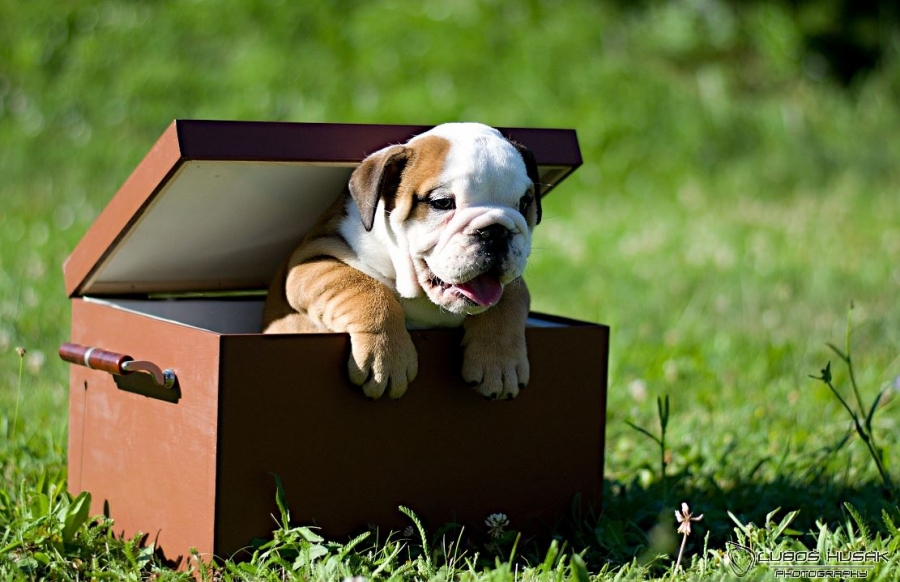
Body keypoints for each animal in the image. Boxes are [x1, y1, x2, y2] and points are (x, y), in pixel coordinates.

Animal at [262, 122, 541, 400]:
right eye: (442, 203)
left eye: (525, 203)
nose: (495, 231)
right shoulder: (313, 258)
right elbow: (363, 287)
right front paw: (386, 358)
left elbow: (509, 298)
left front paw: (500, 363)